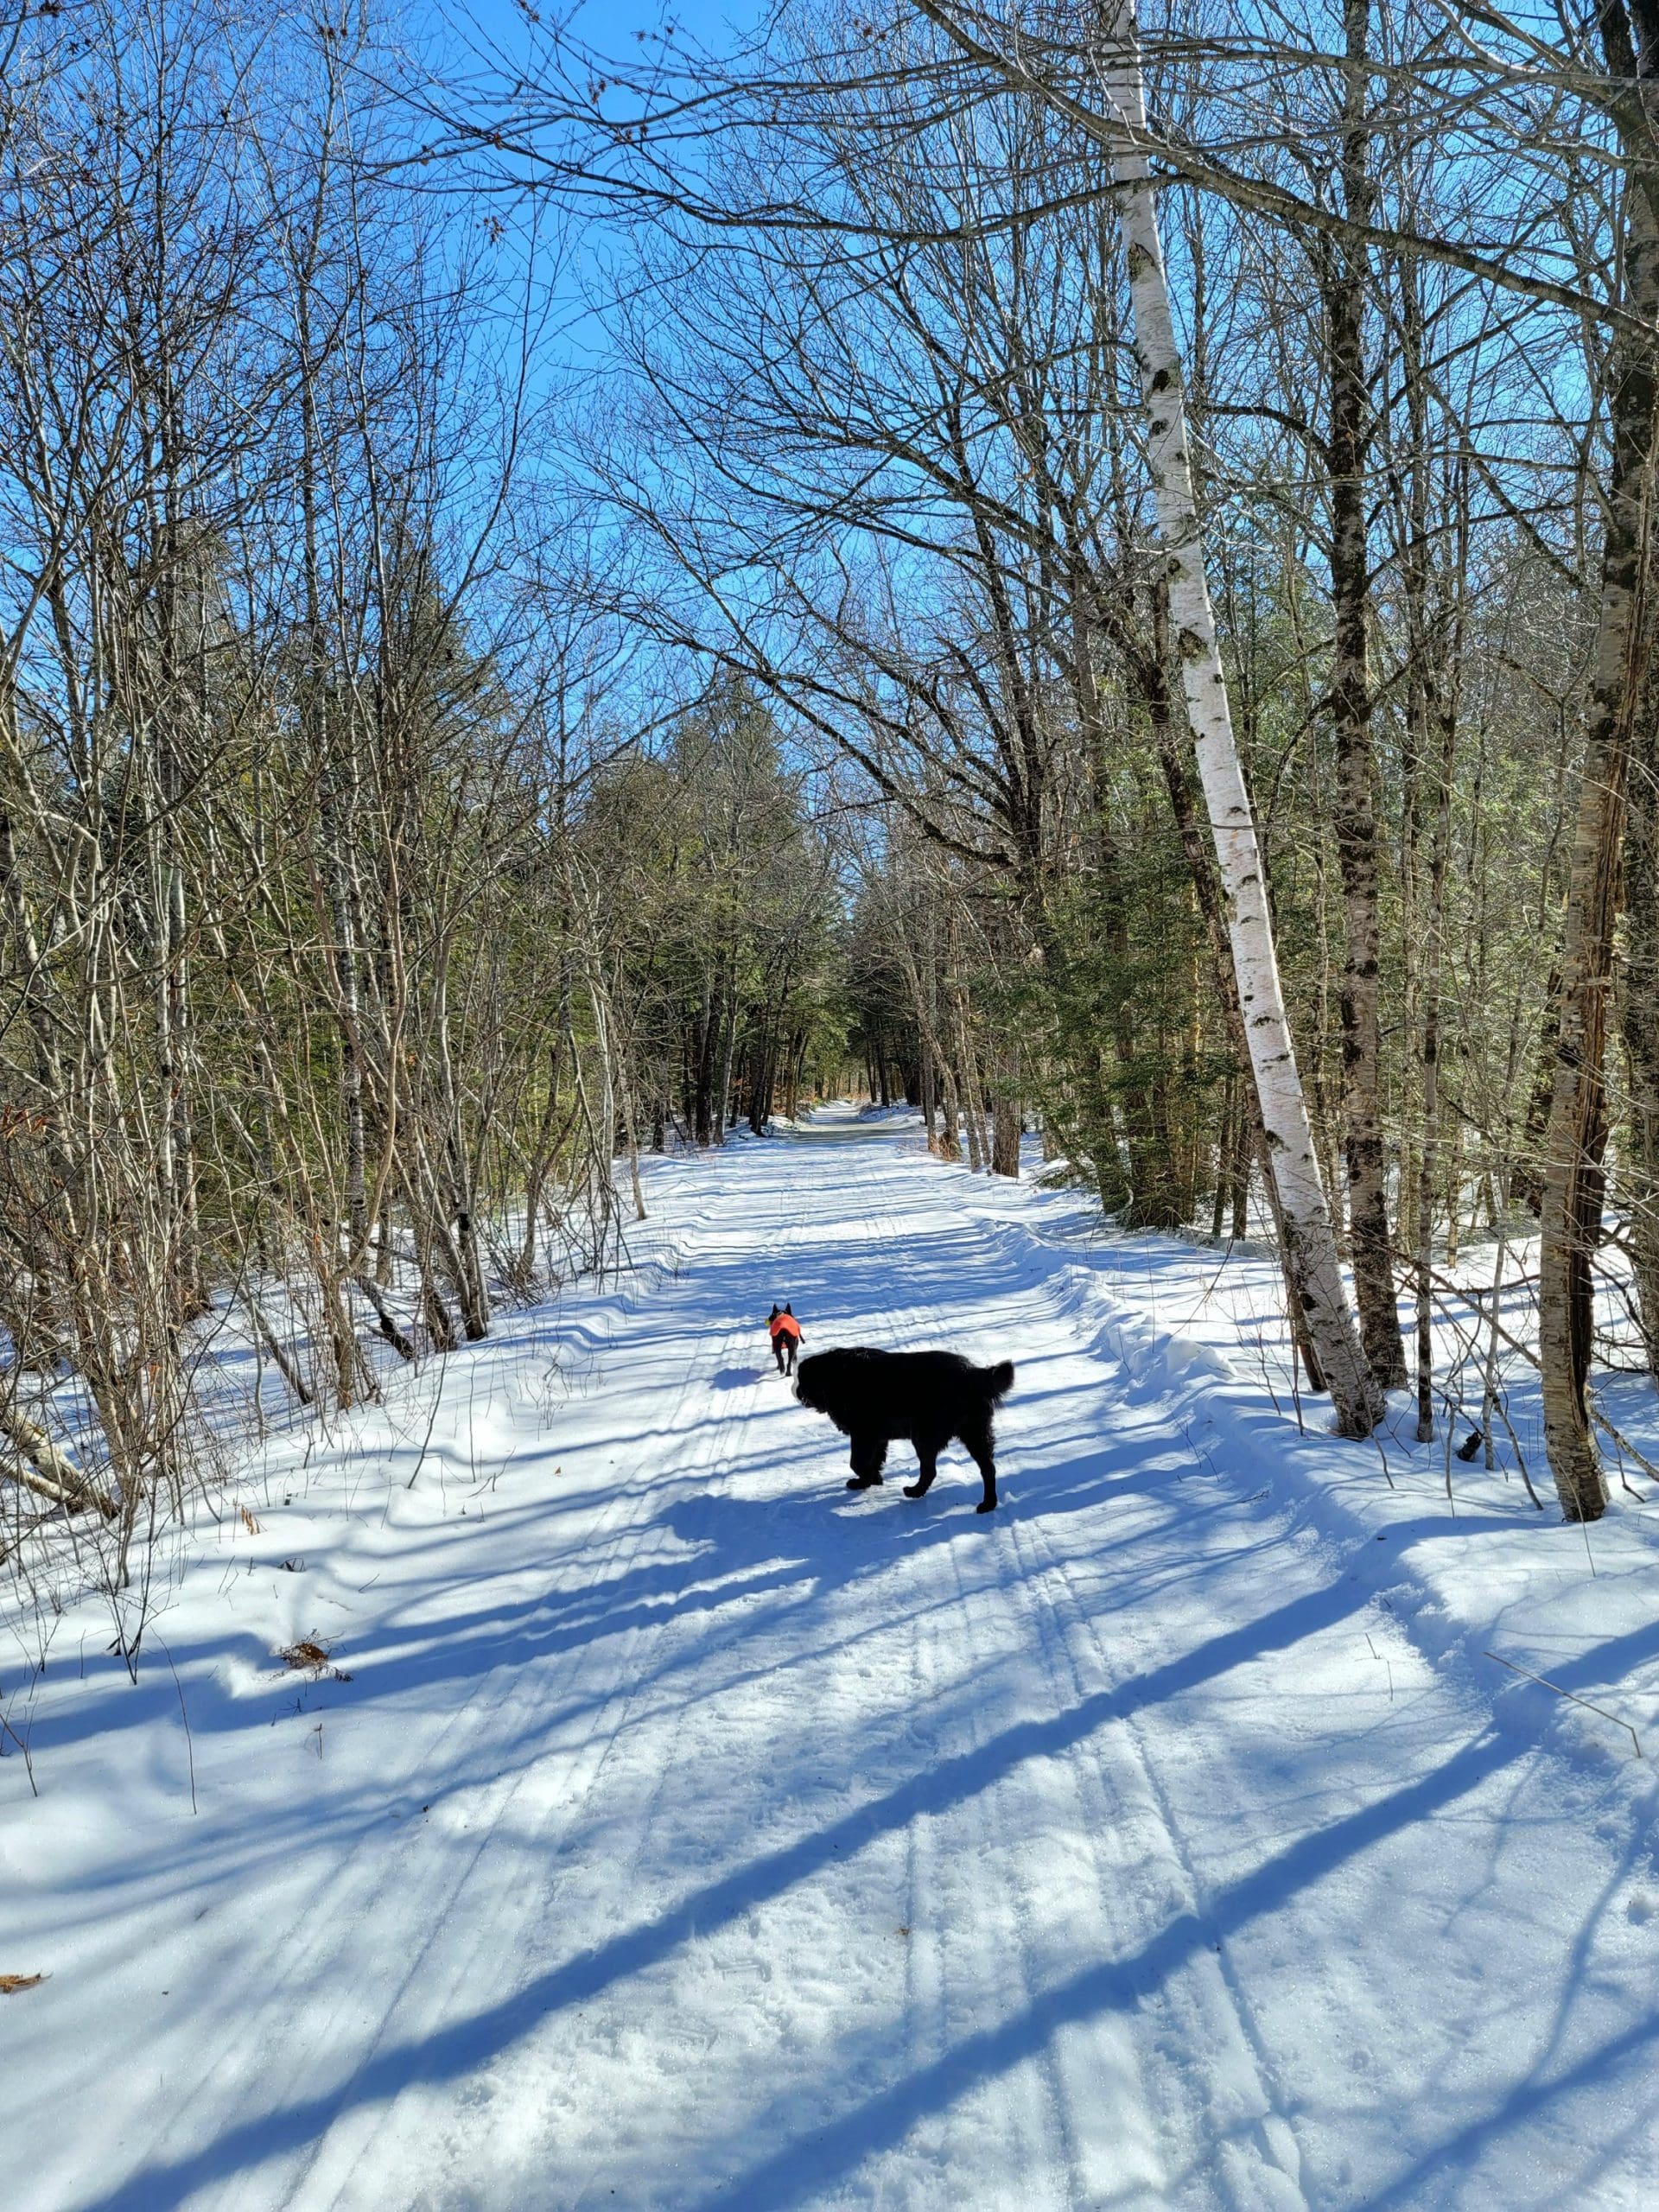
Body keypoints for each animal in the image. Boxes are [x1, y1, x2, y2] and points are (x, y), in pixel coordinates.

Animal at [793, 1347, 1015, 1513]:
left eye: (802, 1381)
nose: (796, 1392)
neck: (837, 1378)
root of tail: (974, 1373)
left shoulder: (863, 1434)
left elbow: (857, 1463)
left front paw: (867, 1479)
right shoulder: (878, 1438)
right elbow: (874, 1460)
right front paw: (870, 1480)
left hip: (925, 1436)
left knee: (930, 1470)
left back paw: (914, 1491)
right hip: (976, 1434)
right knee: (988, 1469)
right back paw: (988, 1504)